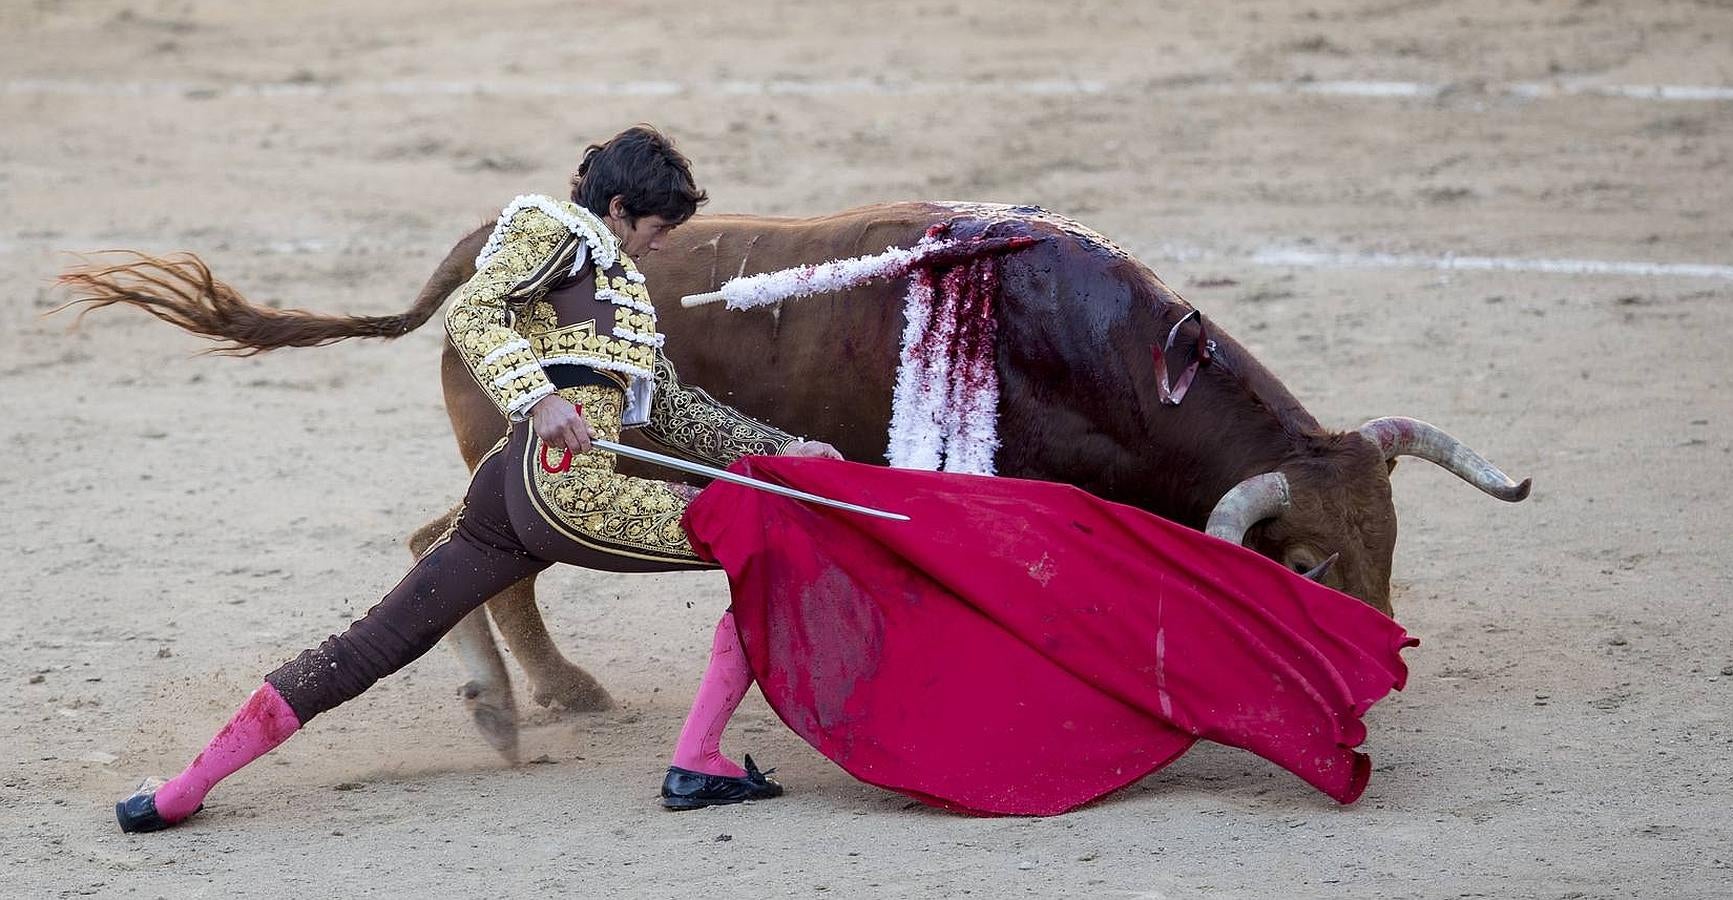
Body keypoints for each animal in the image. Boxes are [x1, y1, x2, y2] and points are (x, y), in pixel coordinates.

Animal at [61, 201, 1525, 756]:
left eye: (1391, 546)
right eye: (1310, 562)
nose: (1376, 673)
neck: (1097, 360)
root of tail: (479, 248)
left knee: (455, 548)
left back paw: (541, 696)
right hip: (528, 467)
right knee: (464, 554)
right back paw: (526, 701)